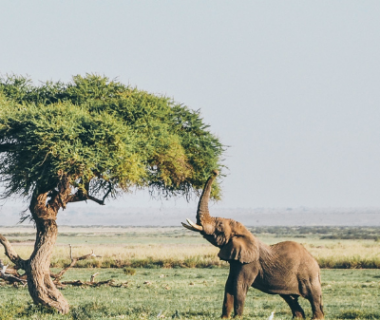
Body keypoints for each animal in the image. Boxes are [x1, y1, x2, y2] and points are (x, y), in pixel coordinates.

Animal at [183, 170, 326, 318]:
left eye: (220, 225)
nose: (215, 171)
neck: (245, 233)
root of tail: (316, 264)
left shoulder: (250, 263)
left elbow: (239, 285)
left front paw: (237, 317)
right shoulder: (237, 260)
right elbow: (229, 284)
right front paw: (224, 318)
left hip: (308, 275)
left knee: (314, 297)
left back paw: (317, 318)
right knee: (290, 298)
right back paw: (298, 317)